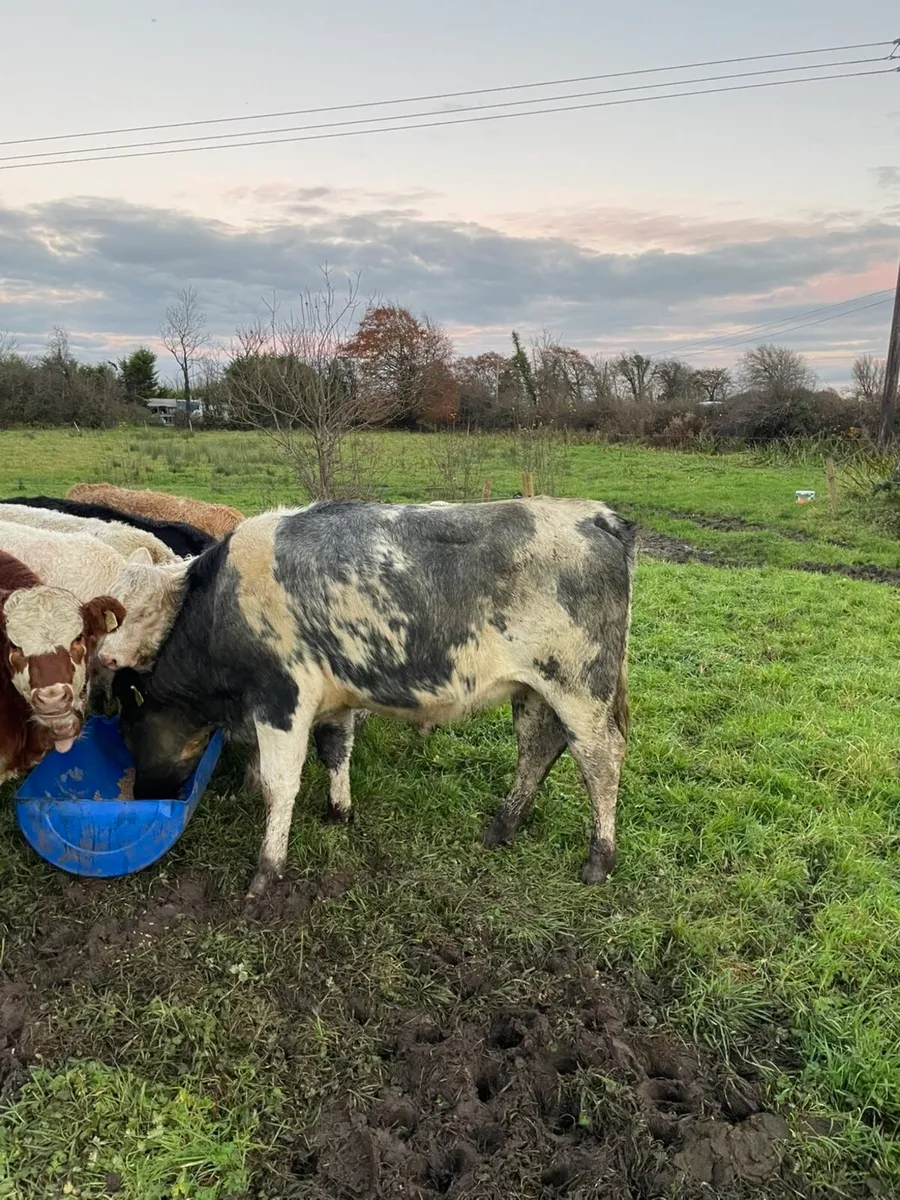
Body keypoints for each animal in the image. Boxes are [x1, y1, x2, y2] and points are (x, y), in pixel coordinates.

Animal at [112, 497, 635, 899]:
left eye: (129, 730)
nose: (144, 792)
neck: (221, 606)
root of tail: (598, 516)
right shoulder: (335, 698)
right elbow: (335, 750)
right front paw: (338, 811)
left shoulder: (281, 697)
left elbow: (279, 784)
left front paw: (267, 868)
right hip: (533, 690)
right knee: (537, 749)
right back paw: (501, 828)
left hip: (579, 687)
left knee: (600, 758)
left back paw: (599, 859)